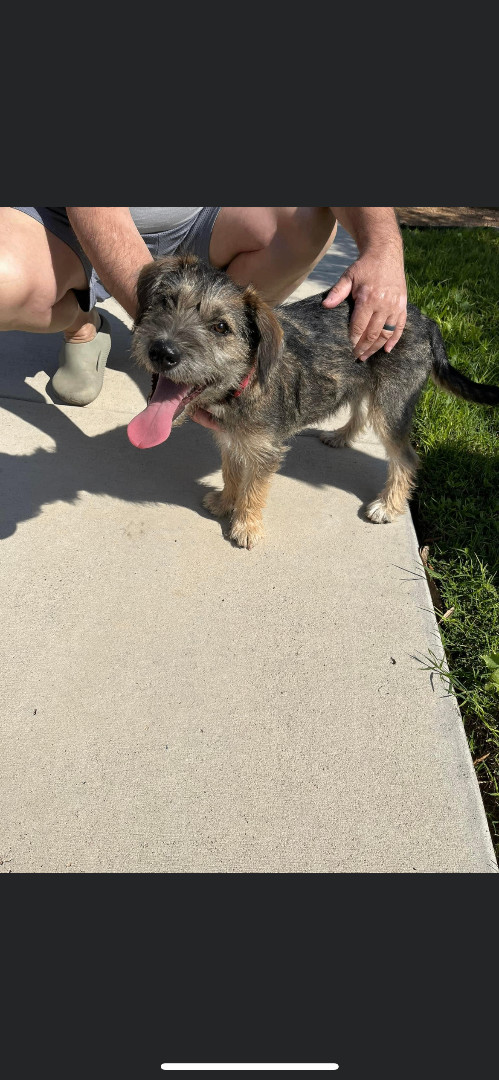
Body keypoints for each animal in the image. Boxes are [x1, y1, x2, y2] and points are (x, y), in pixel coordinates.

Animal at [127, 253, 499, 548]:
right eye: (166, 302)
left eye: (221, 327)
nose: (162, 351)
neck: (242, 383)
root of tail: (428, 320)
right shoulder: (231, 439)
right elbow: (232, 472)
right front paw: (224, 501)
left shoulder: (265, 449)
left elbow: (254, 488)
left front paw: (246, 525)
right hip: (363, 383)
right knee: (359, 411)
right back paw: (340, 436)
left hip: (391, 405)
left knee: (405, 457)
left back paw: (388, 506)